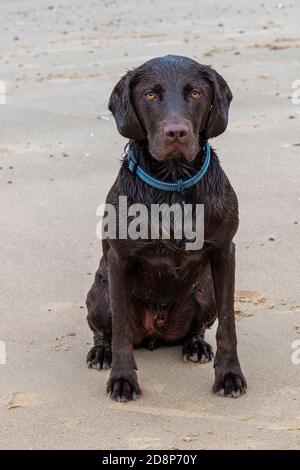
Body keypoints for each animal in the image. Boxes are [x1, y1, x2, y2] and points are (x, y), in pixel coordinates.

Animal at [86, 54, 246, 400]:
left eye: (196, 92)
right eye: (150, 94)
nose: (177, 133)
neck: (173, 182)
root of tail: (154, 333)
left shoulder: (224, 252)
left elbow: (228, 325)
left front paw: (229, 375)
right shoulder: (119, 259)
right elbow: (120, 332)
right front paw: (123, 379)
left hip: (206, 291)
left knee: (198, 328)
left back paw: (196, 346)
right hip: (99, 295)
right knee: (103, 330)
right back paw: (101, 352)